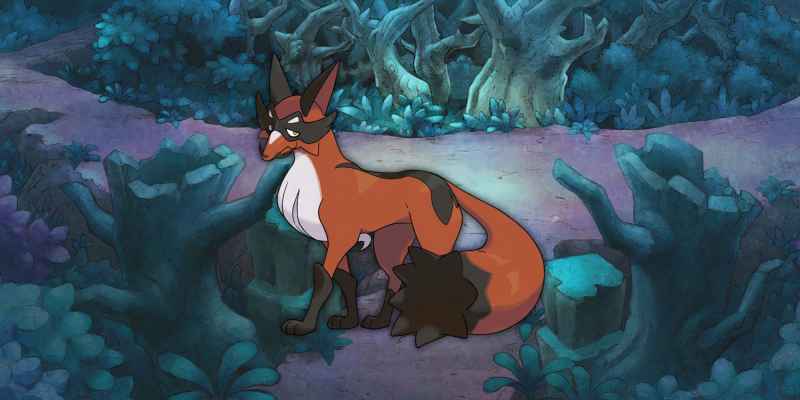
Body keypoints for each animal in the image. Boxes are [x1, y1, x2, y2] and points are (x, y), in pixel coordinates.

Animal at [256, 55, 545, 347]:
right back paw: (380, 322)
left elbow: (323, 281)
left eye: (293, 129)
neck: (315, 177)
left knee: (435, 276)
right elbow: (346, 280)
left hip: (432, 244)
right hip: (389, 242)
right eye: (269, 126)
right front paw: (348, 322)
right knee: (395, 276)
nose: (264, 153)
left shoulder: (341, 238)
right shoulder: (331, 242)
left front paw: (303, 327)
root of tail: (444, 183)